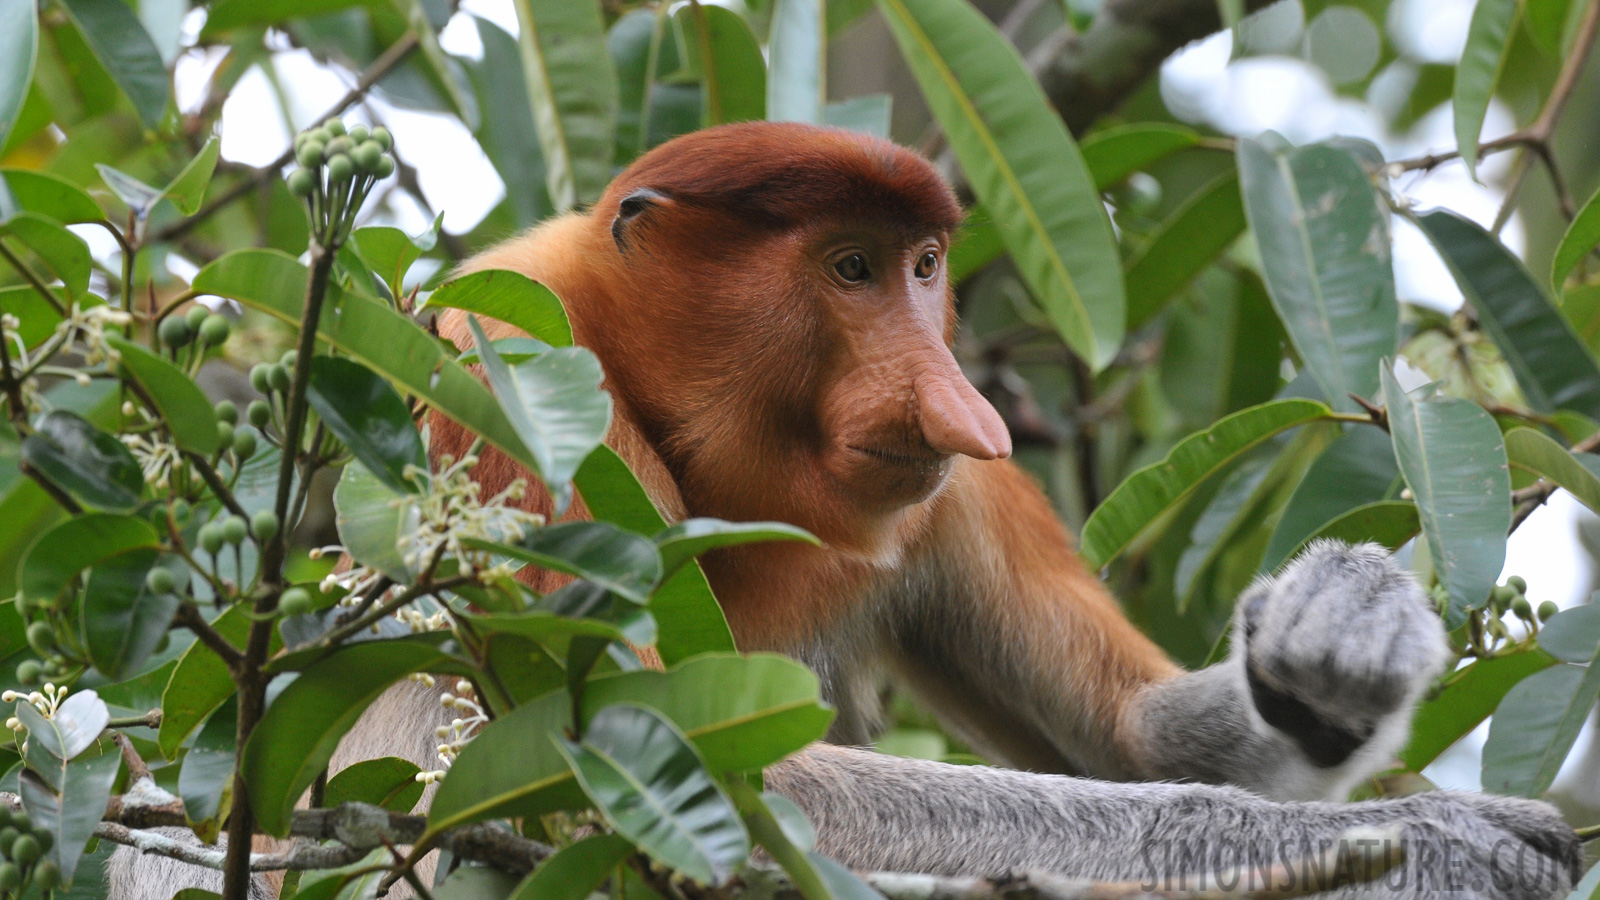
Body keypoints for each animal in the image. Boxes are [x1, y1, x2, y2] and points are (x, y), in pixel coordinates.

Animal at [112, 120, 1574, 896]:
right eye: (849, 268)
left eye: (925, 268)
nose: (963, 408)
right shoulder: (503, 363)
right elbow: (622, 763)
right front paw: (1438, 841)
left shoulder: (943, 493)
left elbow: (1126, 737)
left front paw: (1344, 636)